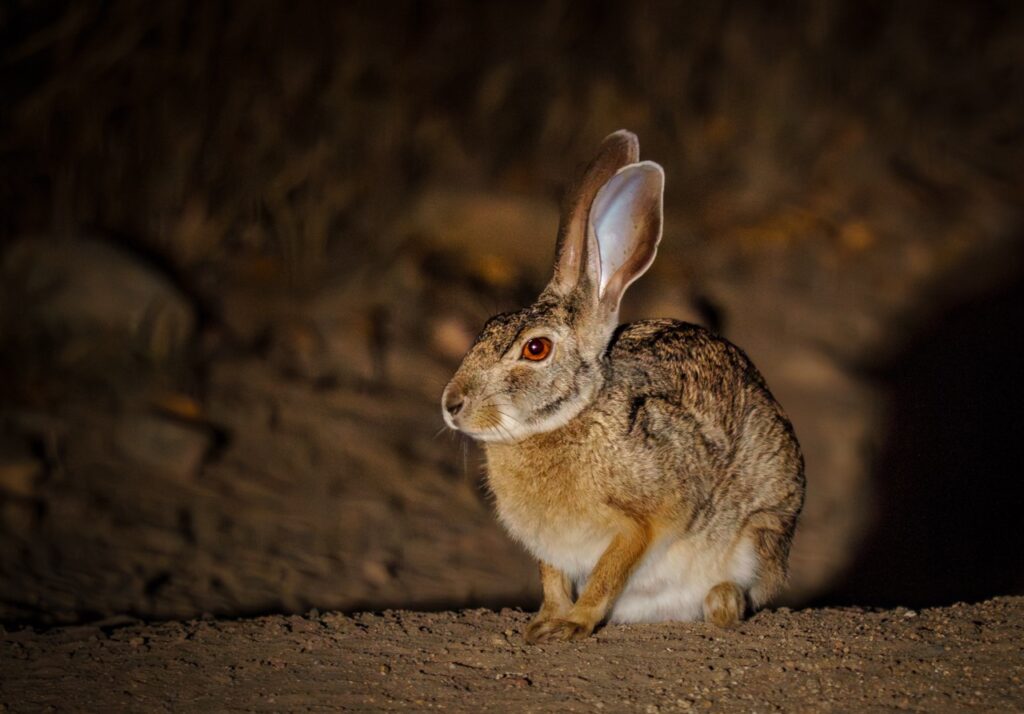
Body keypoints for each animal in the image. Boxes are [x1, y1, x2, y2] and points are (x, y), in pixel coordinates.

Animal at [441, 130, 805, 643]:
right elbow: (552, 578)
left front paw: (573, 624)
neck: (572, 417)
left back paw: (721, 602)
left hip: (760, 529)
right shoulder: (549, 548)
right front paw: (545, 622)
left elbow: (610, 569)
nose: (451, 404)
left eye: (535, 349)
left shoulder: (645, 519)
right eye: (486, 329)